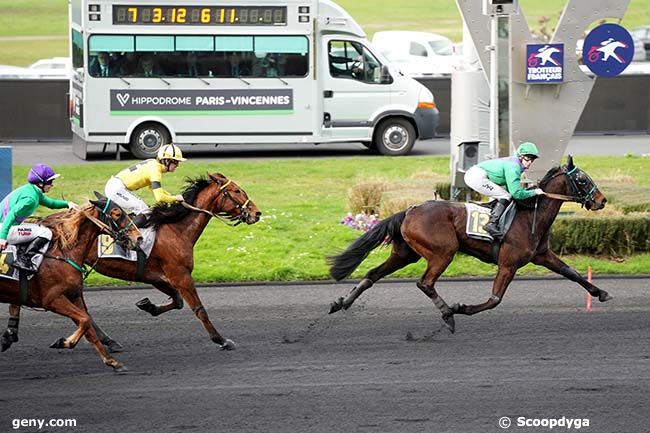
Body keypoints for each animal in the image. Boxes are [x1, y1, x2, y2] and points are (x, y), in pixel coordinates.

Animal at [0, 194, 141, 370]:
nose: (139, 237)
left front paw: (111, 361)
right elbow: (85, 320)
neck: (63, 252)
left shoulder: (73, 295)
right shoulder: (52, 299)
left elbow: (87, 324)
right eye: (117, 213)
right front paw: (63, 342)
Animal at [330, 155, 608, 330]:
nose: (601, 200)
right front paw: (460, 308)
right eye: (582, 179)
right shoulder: (508, 263)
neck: (531, 215)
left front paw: (601, 293)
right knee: (425, 283)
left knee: (372, 274)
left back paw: (342, 303)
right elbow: (495, 299)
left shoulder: (542, 256)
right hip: (443, 252)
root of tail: (409, 210)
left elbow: (571, 272)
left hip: (405, 253)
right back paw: (447, 314)